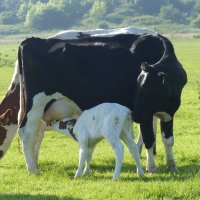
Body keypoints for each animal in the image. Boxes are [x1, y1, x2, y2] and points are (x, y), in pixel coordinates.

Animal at [16, 34, 186, 173]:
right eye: (138, 86)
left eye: (149, 89)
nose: (135, 114)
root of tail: (31, 40)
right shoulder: (147, 113)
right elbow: (149, 139)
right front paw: (151, 167)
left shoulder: (168, 113)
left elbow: (168, 139)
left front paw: (172, 166)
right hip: (35, 104)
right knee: (26, 133)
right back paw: (32, 169)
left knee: (34, 134)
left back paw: (33, 164)